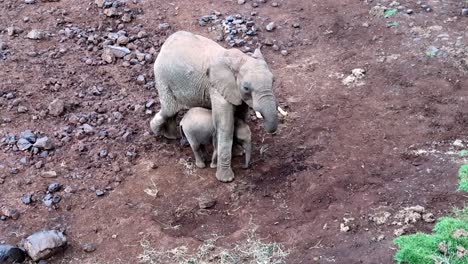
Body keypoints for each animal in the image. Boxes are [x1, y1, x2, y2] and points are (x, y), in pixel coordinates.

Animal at [149, 31, 278, 183]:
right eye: (246, 87)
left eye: (273, 81)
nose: (246, 167)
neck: (240, 58)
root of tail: (166, 43)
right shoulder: (217, 89)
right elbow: (225, 126)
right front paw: (226, 179)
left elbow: (239, 116)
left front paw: (237, 152)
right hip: (162, 77)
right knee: (169, 109)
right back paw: (159, 132)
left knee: (172, 111)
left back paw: (171, 136)